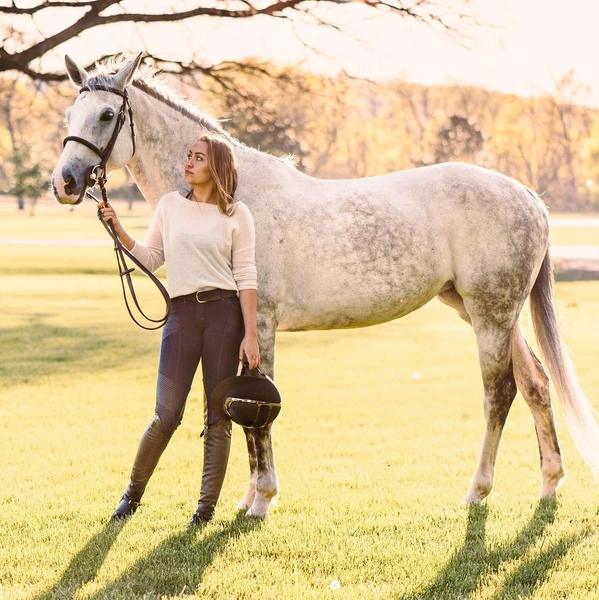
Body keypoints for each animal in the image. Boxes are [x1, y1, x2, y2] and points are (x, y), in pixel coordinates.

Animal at [50, 54, 599, 516]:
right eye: (70, 115)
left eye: (106, 115)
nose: (65, 183)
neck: (233, 195)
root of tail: (528, 195)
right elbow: (242, 408)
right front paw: (248, 496)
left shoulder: (260, 323)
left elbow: (259, 411)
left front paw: (262, 499)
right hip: (489, 313)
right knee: (536, 384)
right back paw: (549, 483)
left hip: (490, 314)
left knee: (499, 393)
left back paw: (477, 491)